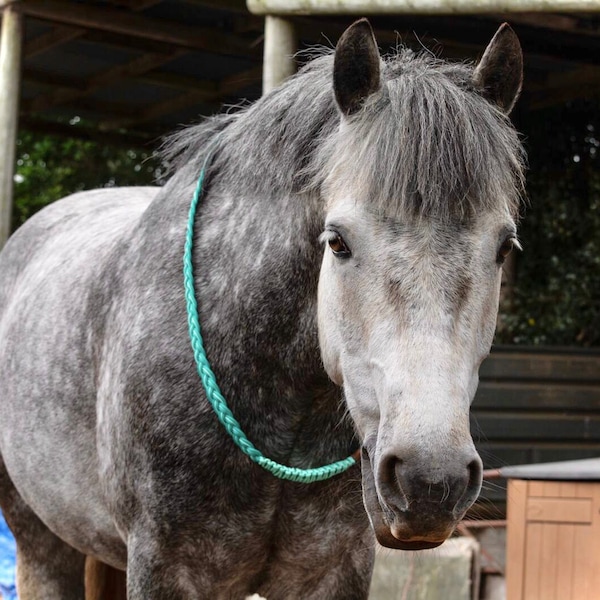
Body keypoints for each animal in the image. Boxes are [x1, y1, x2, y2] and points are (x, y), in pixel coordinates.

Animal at [0, 18, 524, 600]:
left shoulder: (333, 570)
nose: (431, 480)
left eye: (504, 247)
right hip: (40, 540)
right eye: (337, 241)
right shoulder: (163, 568)